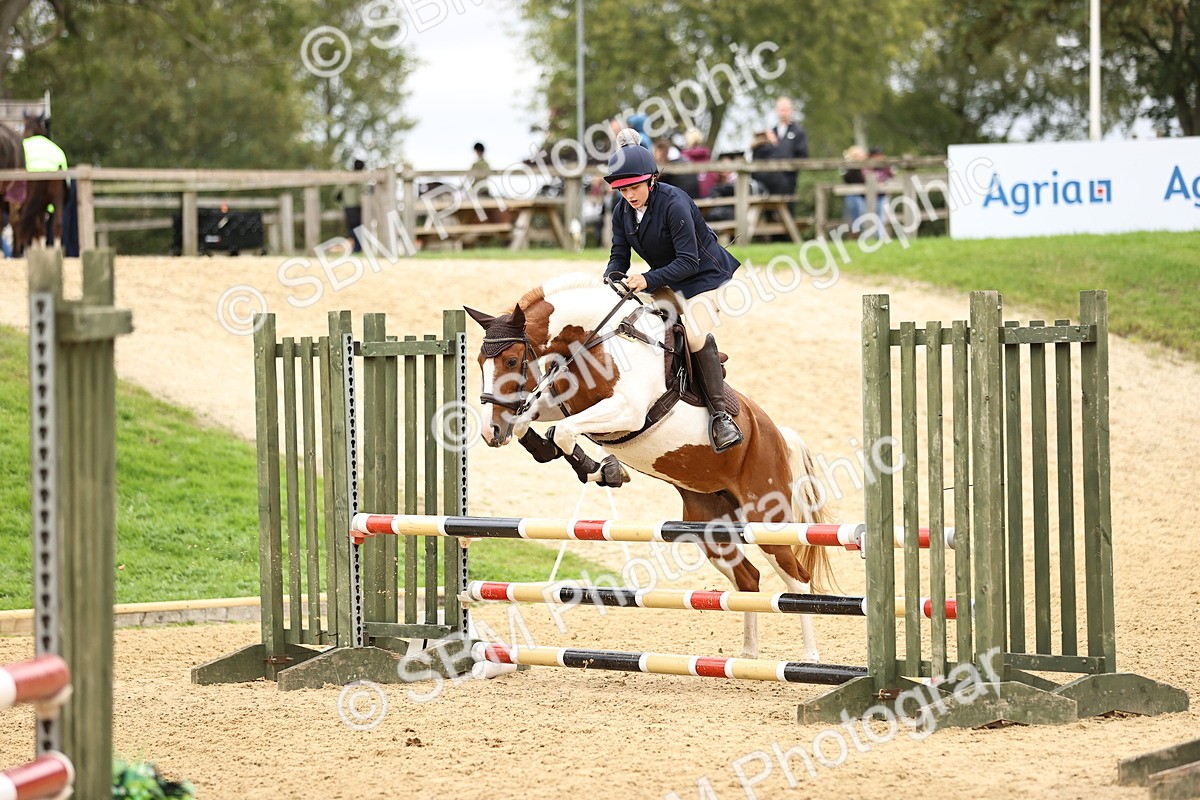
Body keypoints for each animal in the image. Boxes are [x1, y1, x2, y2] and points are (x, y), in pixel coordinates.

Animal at [466, 273, 833, 661]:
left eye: (510, 360)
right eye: (479, 361)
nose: (490, 432)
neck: (593, 339)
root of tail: (776, 434)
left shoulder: (626, 411)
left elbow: (563, 430)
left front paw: (602, 470)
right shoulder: (559, 401)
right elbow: (531, 423)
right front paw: (587, 464)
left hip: (767, 517)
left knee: (796, 579)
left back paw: (809, 656)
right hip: (710, 524)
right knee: (748, 578)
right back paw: (747, 655)